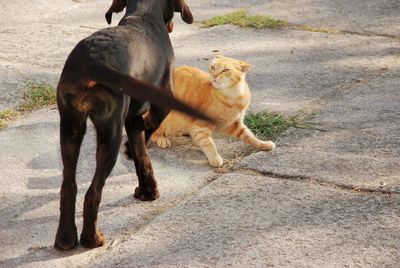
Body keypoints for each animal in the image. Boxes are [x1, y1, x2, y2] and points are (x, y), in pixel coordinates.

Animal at [55, 0, 212, 250]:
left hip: (70, 128)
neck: (144, 14)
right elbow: (150, 126)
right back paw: (92, 239)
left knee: (68, 186)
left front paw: (148, 191)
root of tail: (93, 63)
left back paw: (66, 239)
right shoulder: (161, 102)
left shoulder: (132, 117)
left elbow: (142, 157)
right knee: (93, 193)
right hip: (109, 132)